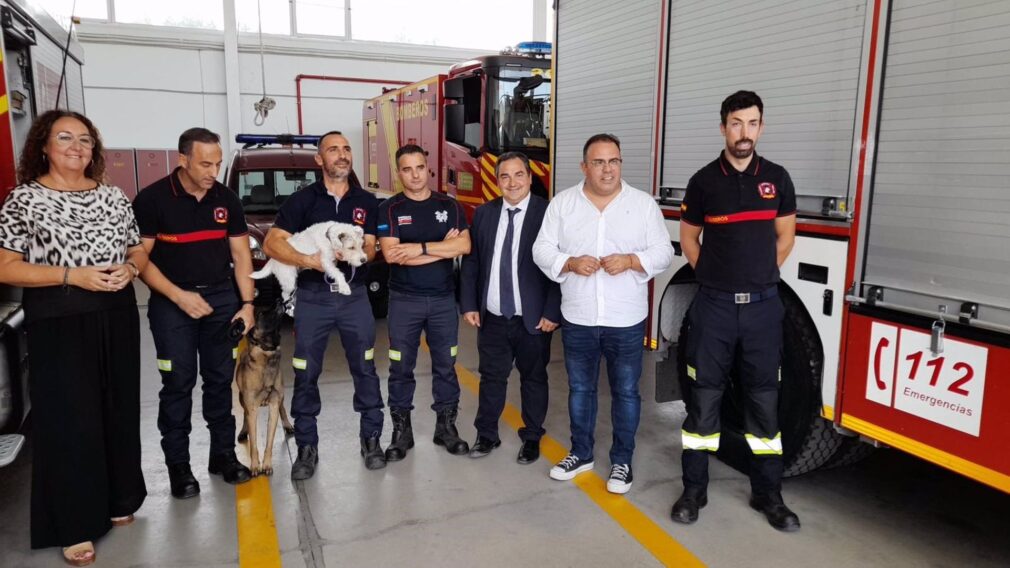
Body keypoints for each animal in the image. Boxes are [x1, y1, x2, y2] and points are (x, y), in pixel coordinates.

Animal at [231, 303, 288, 475]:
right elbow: (254, 443)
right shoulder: (252, 408)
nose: (279, 301)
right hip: (242, 399)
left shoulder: (274, 404)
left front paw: (267, 464)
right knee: (244, 414)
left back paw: (288, 426)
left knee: (283, 408)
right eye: (262, 313)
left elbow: (269, 442)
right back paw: (243, 431)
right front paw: (255, 465)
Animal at [260, 130, 385, 475]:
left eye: (363, 245)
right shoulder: (326, 261)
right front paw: (342, 286)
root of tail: (272, 262)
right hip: (289, 275)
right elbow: (335, 271)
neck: (331, 233)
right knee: (287, 294)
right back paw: (290, 306)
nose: (364, 259)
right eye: (351, 247)